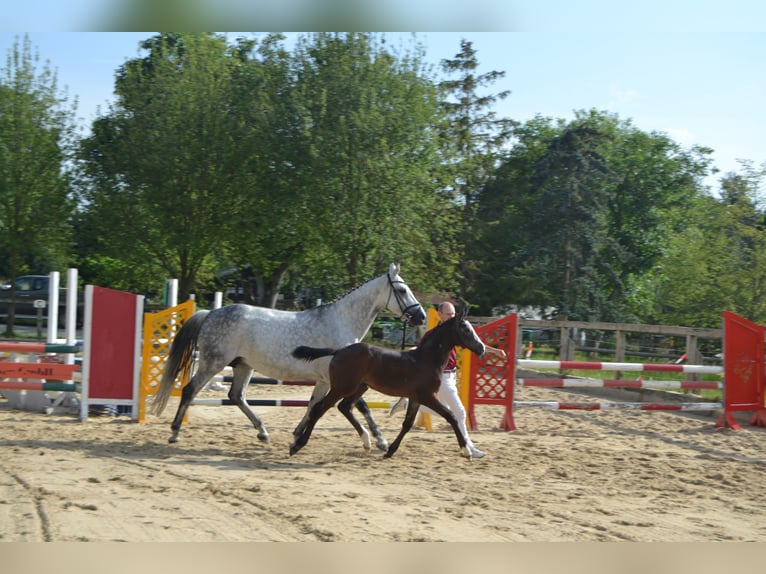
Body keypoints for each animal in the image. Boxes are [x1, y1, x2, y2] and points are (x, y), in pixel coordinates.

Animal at [151, 263, 426, 449]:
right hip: (213, 362)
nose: (421, 316)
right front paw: (377, 440)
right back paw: (174, 432)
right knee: (190, 390)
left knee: (236, 396)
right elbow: (361, 406)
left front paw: (297, 434)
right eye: (402, 290)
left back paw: (263, 432)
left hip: (243, 366)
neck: (341, 322)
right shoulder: (342, 379)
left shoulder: (324, 380)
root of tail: (210, 313)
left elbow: (314, 405)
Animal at [289, 308, 486, 459]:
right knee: (319, 409)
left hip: (359, 387)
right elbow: (451, 416)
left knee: (344, 407)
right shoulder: (427, 396)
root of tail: (339, 351)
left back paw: (367, 441)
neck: (427, 359)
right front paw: (466, 451)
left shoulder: (416, 398)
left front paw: (390, 451)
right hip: (341, 387)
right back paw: (297, 445)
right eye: (466, 329)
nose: (482, 348)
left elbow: (407, 424)